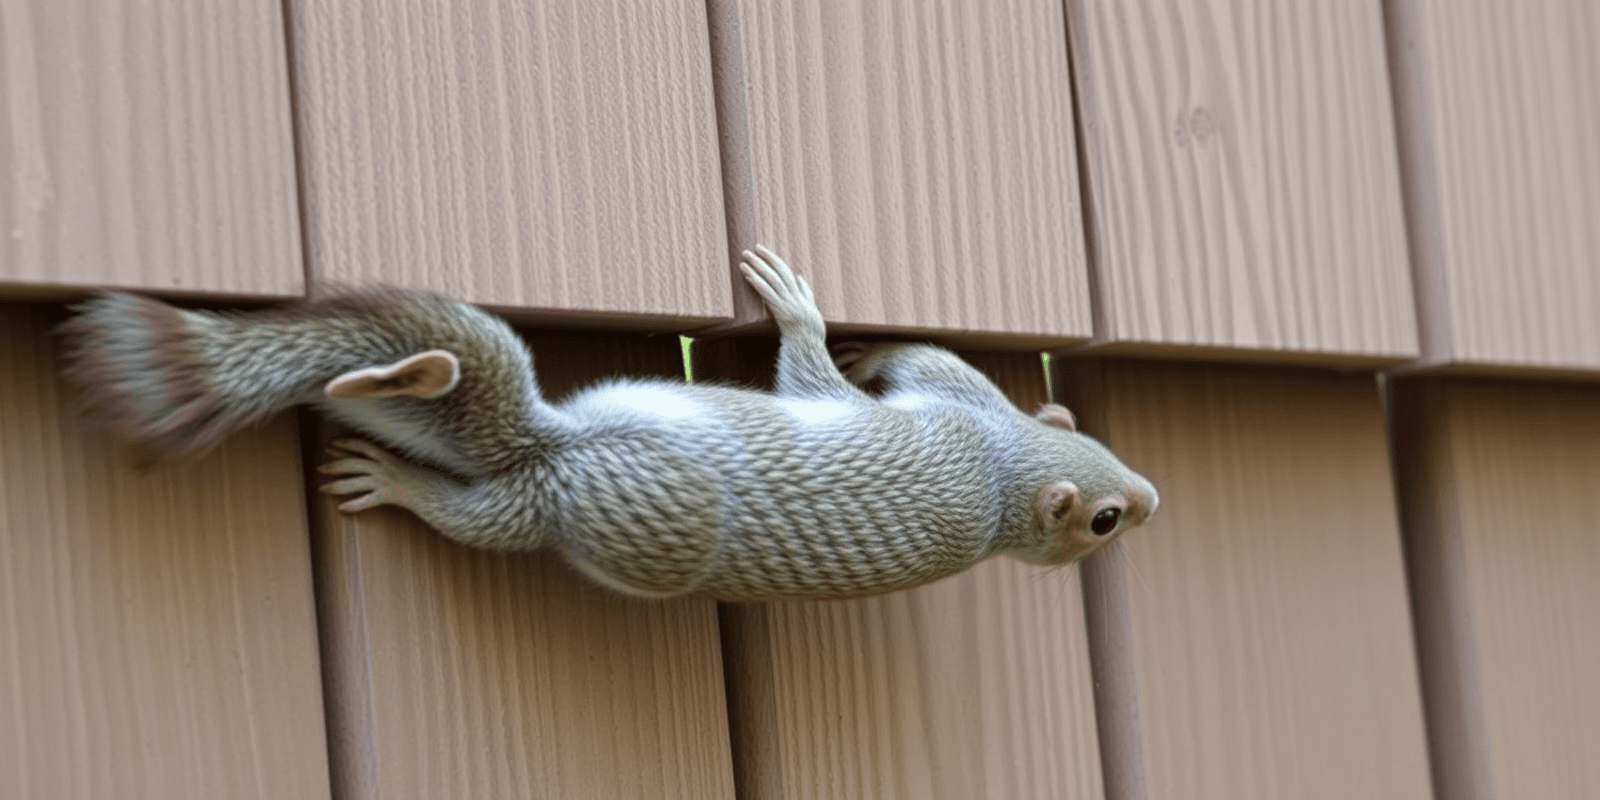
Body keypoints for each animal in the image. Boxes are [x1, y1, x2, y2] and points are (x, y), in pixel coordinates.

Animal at [58, 246, 1157, 600]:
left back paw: (401, 469)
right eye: (1105, 517)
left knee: (487, 508)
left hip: (560, 502)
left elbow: (808, 369)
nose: (1151, 499)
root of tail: (561, 443)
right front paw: (846, 334)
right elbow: (880, 364)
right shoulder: (951, 394)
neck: (1004, 463)